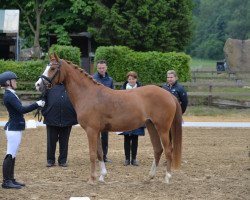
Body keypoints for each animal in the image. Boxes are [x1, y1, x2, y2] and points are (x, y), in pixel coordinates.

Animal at [35, 53, 183, 184]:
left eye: (53, 68)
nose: (37, 85)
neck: (88, 94)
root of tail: (169, 95)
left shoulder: (91, 130)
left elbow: (92, 154)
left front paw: (91, 179)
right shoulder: (97, 131)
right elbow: (100, 153)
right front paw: (101, 177)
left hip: (162, 128)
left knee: (168, 150)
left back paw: (167, 178)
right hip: (151, 126)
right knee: (158, 150)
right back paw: (149, 177)